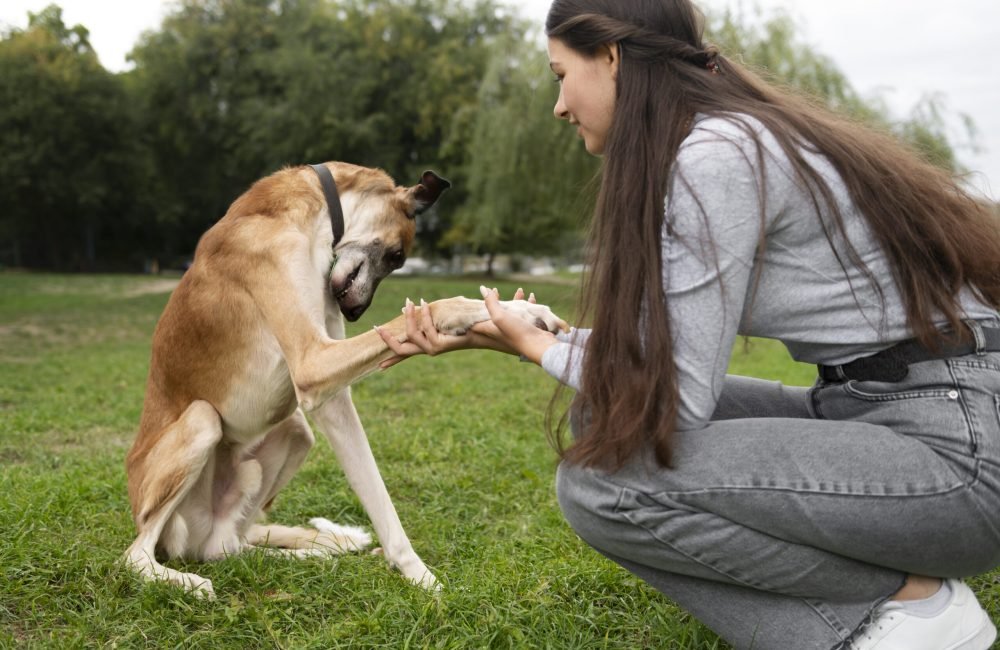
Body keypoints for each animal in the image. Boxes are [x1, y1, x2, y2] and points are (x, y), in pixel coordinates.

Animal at [123, 161, 564, 592]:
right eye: (397, 255)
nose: (355, 313)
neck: (309, 213)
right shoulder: (314, 363)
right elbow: (440, 305)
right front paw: (519, 313)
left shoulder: (331, 395)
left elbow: (378, 496)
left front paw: (416, 575)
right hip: (201, 422)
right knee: (136, 555)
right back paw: (184, 579)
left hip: (295, 434)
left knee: (229, 547)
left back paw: (314, 555)